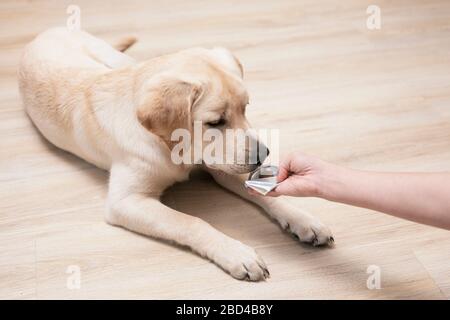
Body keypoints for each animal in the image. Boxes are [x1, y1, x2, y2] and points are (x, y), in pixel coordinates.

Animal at [18, 28, 334, 282]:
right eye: (215, 122)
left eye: (245, 108)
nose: (263, 154)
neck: (174, 147)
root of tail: (45, 32)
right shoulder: (126, 202)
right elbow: (191, 222)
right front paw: (236, 253)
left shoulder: (221, 166)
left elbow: (267, 194)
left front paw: (303, 219)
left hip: (112, 57)